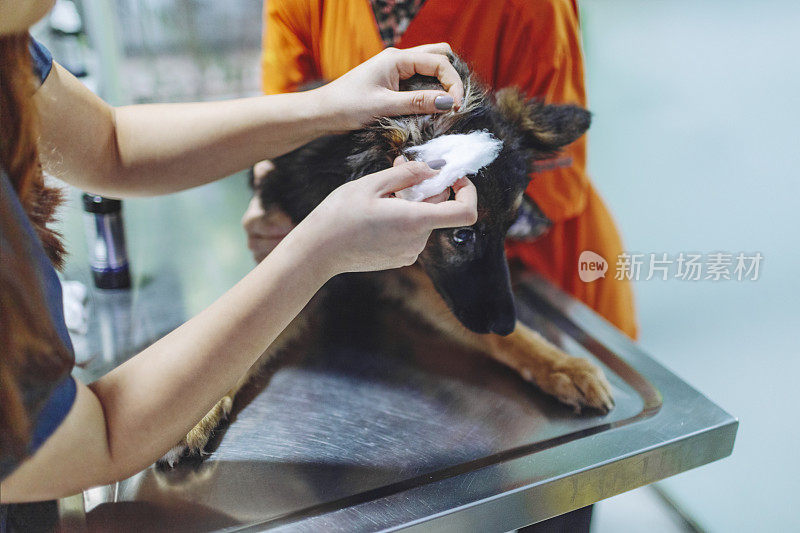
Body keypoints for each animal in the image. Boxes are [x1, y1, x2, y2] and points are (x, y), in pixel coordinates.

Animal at [161, 56, 612, 466]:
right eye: (461, 234)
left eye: (504, 229)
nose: (504, 323)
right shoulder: (301, 272)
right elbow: (237, 346)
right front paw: (191, 415)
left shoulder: (415, 276)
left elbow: (507, 339)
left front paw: (562, 365)